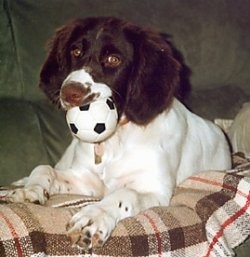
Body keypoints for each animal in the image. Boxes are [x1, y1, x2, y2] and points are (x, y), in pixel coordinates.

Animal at [6, 17, 232, 250]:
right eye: (76, 52)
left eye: (113, 59)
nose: (68, 93)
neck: (114, 140)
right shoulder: (87, 181)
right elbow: (44, 168)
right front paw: (30, 189)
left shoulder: (155, 191)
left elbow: (124, 194)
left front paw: (93, 217)